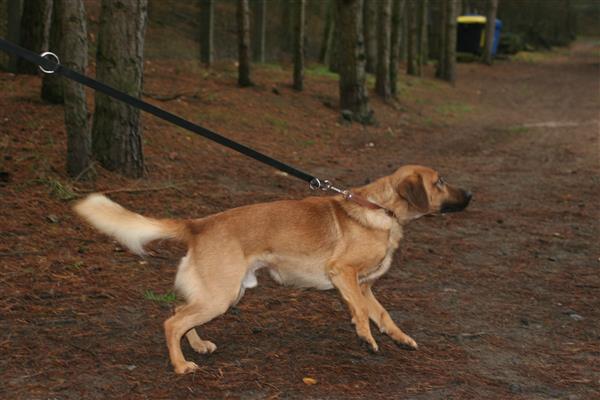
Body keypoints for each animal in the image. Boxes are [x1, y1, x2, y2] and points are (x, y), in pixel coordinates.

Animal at [74, 164, 471, 374]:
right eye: (438, 182)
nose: (471, 195)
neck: (383, 210)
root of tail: (198, 224)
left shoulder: (364, 285)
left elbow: (384, 314)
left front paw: (399, 338)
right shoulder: (343, 274)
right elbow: (361, 312)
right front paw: (365, 337)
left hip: (223, 293)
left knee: (179, 313)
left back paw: (198, 345)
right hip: (221, 296)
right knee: (172, 322)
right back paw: (181, 365)